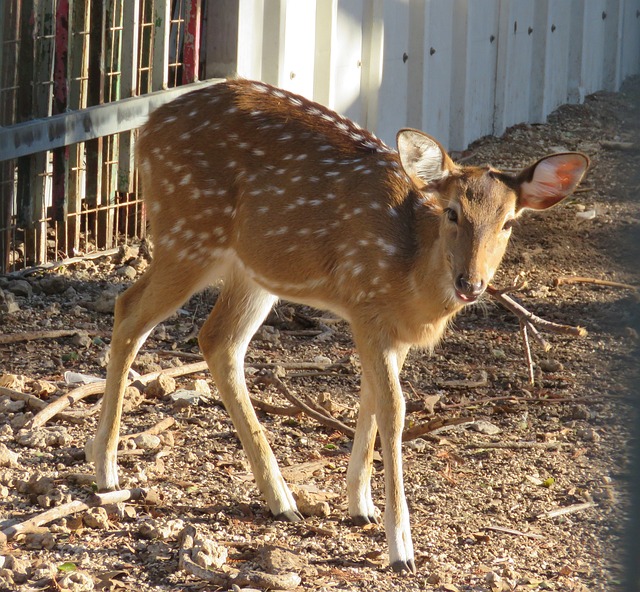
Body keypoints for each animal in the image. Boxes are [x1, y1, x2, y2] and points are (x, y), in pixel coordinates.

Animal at [86, 78, 592, 572]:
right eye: (452, 212)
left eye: (508, 222)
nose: (471, 283)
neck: (412, 277)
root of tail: (147, 127)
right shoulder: (367, 304)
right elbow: (394, 410)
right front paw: (400, 548)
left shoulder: (387, 328)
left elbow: (369, 400)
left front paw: (360, 506)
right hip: (188, 233)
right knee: (129, 310)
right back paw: (108, 471)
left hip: (252, 269)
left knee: (218, 340)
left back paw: (280, 499)